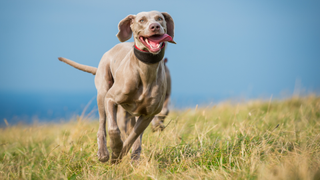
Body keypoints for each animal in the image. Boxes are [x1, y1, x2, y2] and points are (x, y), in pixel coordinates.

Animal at [57, 10, 175, 163]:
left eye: (159, 18)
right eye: (142, 20)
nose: (155, 26)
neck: (145, 70)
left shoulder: (148, 114)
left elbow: (133, 137)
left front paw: (120, 155)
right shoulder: (110, 99)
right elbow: (113, 129)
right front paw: (116, 149)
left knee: (133, 134)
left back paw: (133, 159)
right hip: (103, 91)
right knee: (102, 124)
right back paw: (103, 153)